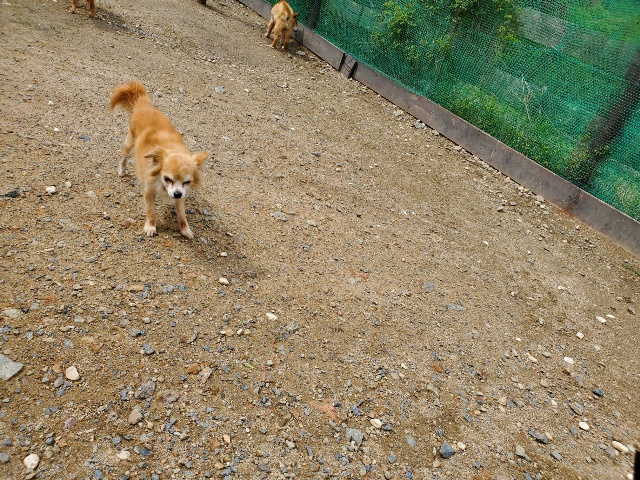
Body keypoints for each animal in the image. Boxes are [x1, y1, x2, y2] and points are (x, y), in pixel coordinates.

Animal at [110, 81, 210, 239]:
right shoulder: (148, 190)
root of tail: (144, 105)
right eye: (167, 179)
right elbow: (151, 211)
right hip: (130, 144)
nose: (177, 194)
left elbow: (182, 213)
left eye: (187, 182)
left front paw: (185, 229)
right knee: (123, 156)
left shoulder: (182, 194)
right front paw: (150, 227)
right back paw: (121, 170)